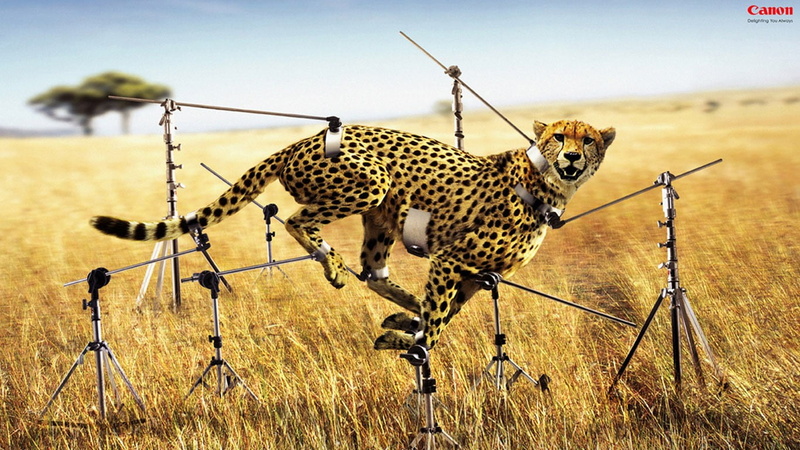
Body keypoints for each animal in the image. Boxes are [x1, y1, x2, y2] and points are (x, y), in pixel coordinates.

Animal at [91, 119, 615, 351]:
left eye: (587, 139)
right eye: (559, 137)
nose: (571, 157)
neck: (548, 184)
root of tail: (297, 141)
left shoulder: (475, 273)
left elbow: (448, 312)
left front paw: (405, 330)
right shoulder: (451, 260)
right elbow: (440, 321)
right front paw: (415, 343)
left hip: (382, 218)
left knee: (374, 272)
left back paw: (395, 303)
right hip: (370, 183)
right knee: (295, 221)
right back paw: (333, 266)